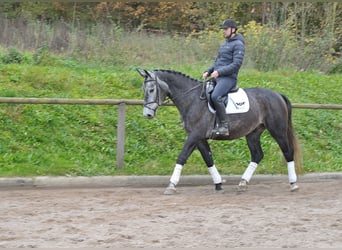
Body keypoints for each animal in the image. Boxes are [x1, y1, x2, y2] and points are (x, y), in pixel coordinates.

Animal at [136, 69, 302, 195]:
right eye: (144, 90)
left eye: (151, 90)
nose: (147, 114)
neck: (192, 100)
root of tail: (278, 95)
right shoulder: (199, 138)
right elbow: (208, 159)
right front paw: (218, 184)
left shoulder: (195, 135)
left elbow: (182, 157)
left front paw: (171, 185)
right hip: (253, 133)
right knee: (257, 155)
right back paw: (243, 183)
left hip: (278, 130)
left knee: (288, 152)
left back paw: (293, 184)